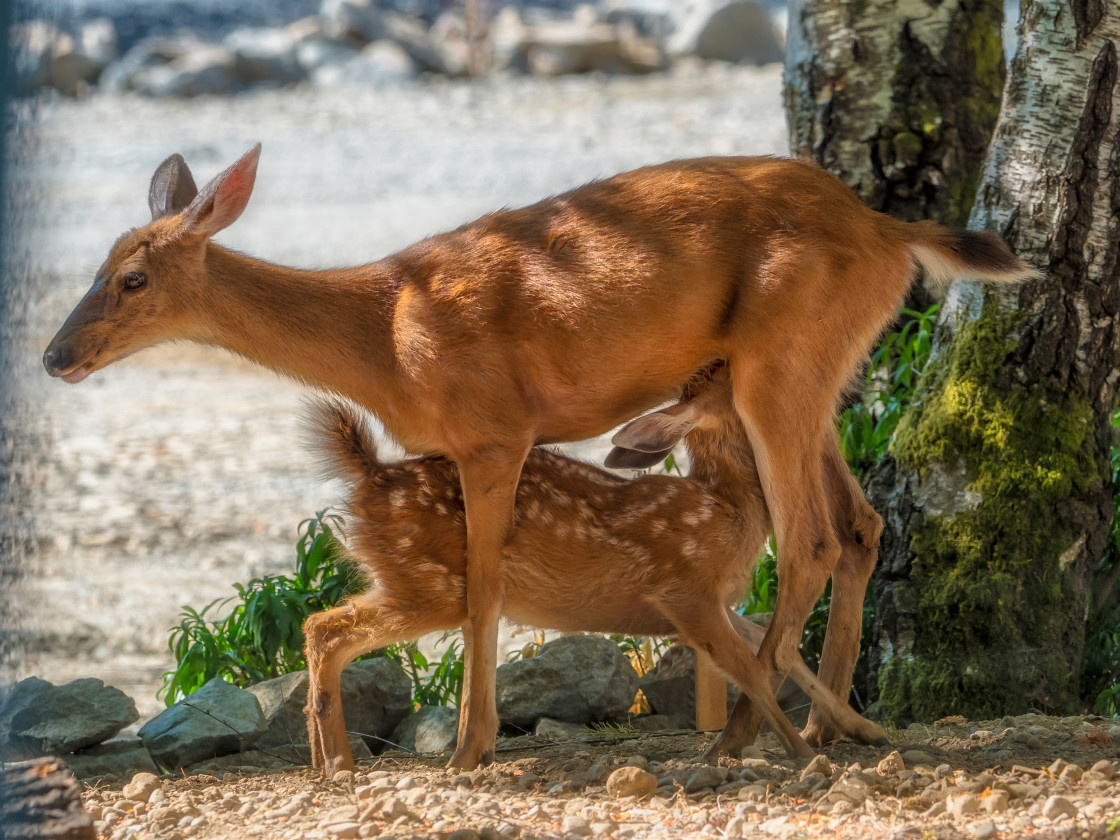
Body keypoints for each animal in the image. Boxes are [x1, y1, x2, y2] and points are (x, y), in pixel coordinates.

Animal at [45, 146, 1039, 770]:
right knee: (862, 523)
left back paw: (746, 740)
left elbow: (485, 590)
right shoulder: (468, 445)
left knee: (811, 540)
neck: (385, 338)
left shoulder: (494, 430)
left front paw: (470, 750)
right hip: (813, 369)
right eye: (94, 265)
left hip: (783, 357)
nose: (55, 355)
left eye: (133, 278)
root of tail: (889, 232)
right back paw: (836, 731)